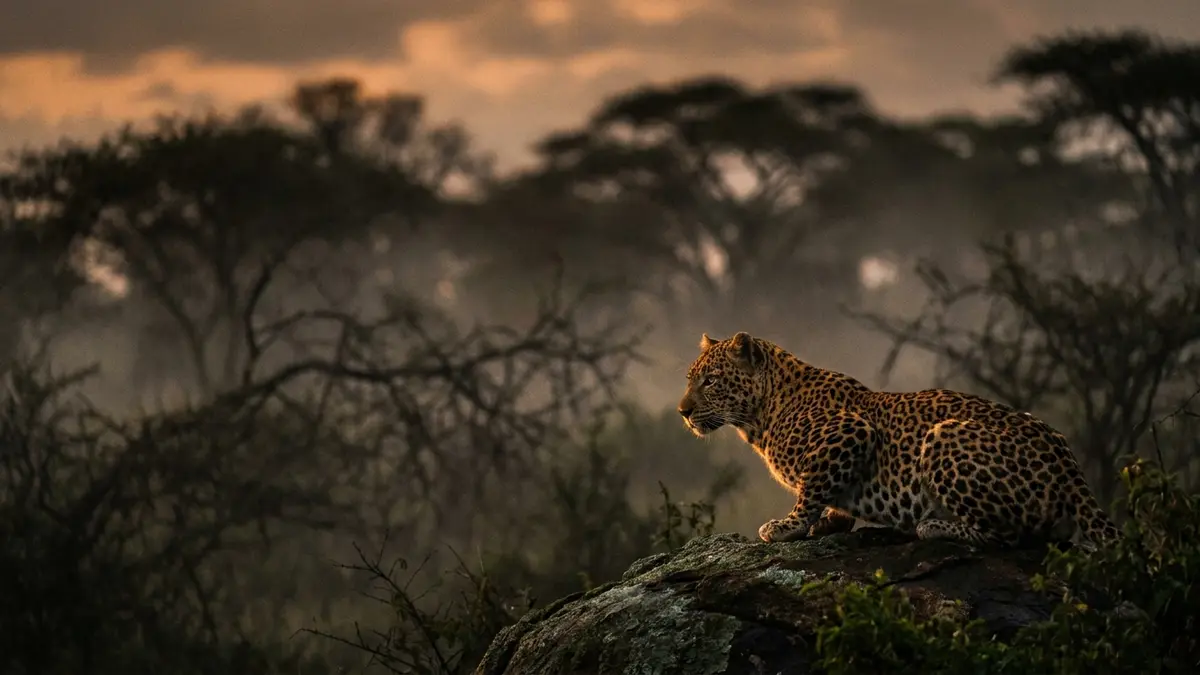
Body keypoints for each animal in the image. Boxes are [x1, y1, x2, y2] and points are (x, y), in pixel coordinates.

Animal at [677, 331, 1121, 549]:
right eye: (689, 378)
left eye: (710, 381)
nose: (682, 411)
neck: (761, 415)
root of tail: (1067, 462)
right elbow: (830, 500)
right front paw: (829, 522)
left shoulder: (851, 431)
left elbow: (810, 491)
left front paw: (788, 526)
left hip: (944, 436)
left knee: (1011, 535)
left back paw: (935, 526)